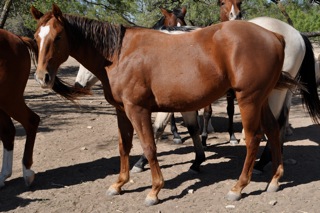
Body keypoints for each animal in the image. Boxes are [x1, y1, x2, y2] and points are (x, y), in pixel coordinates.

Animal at [31, 4, 298, 206]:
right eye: (35, 38)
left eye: (58, 37)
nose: (43, 77)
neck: (120, 54)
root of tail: (275, 36)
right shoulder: (122, 110)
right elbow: (124, 146)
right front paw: (119, 183)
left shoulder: (137, 109)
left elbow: (149, 147)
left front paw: (154, 190)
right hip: (262, 99)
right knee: (274, 130)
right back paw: (275, 179)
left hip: (249, 99)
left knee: (254, 138)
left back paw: (239, 186)